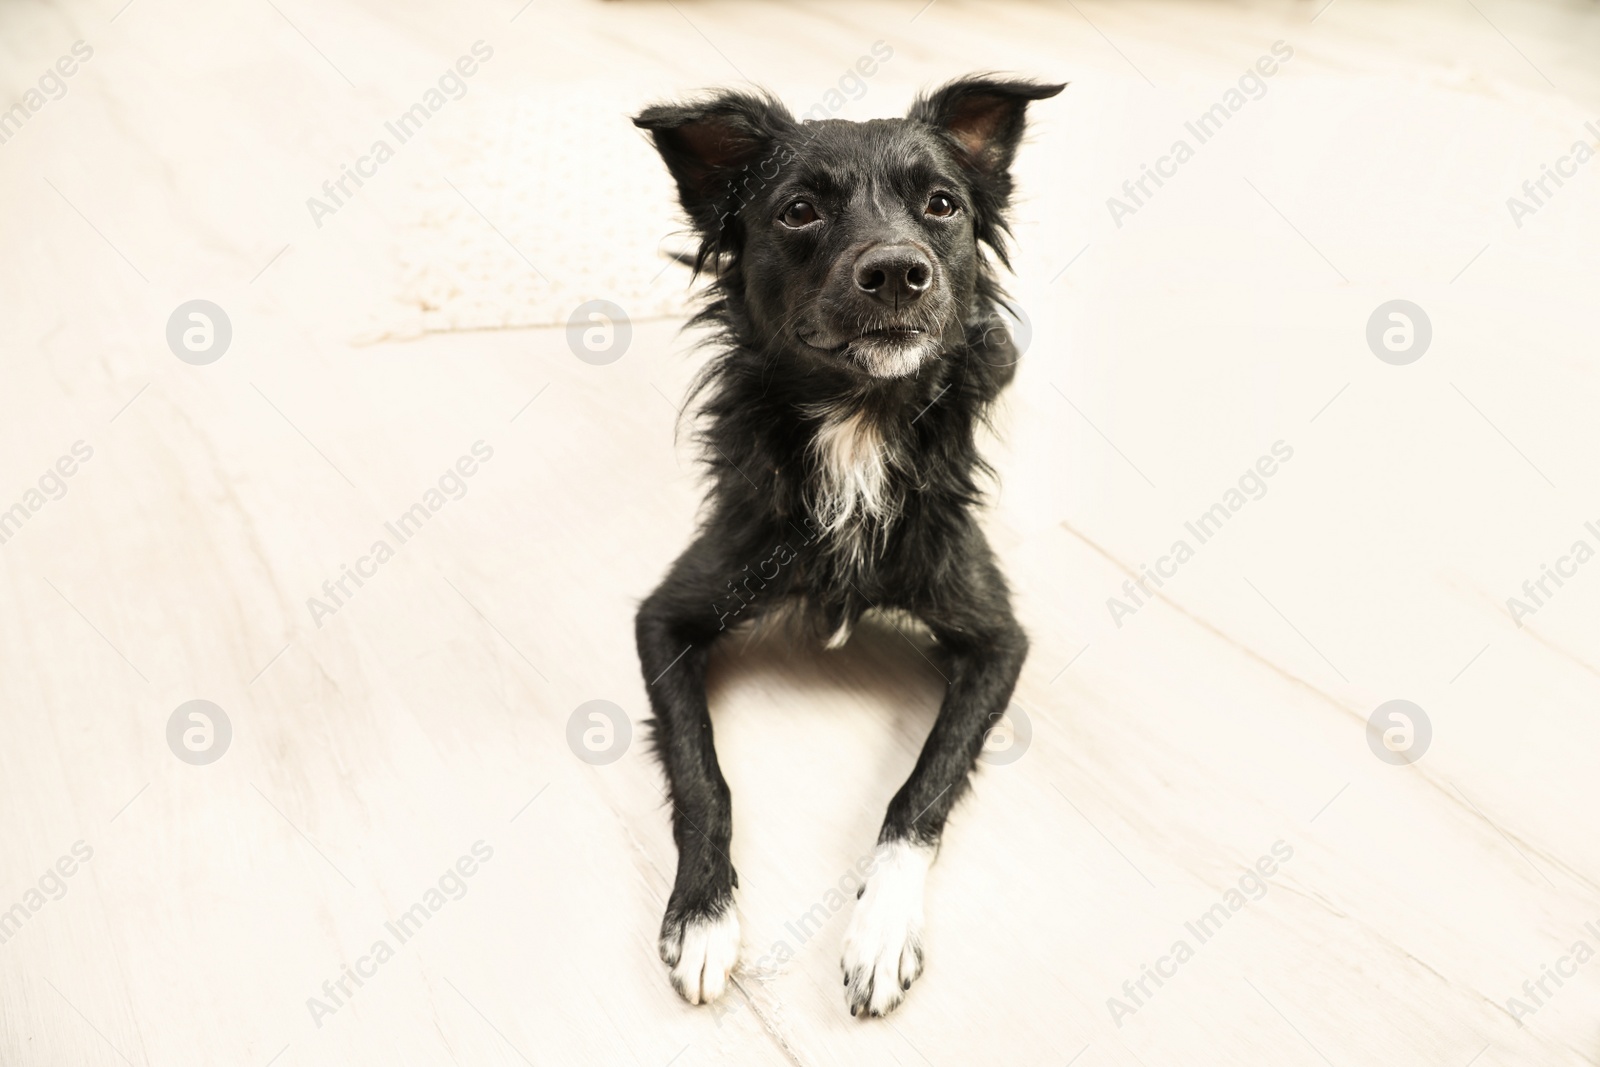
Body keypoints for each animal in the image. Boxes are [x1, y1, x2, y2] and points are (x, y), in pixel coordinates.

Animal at [627, 75, 1062, 1017]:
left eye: (942, 204)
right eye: (798, 210)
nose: (897, 269)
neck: (859, 423)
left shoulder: (999, 639)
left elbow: (920, 789)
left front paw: (880, 931)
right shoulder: (664, 616)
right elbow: (700, 772)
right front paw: (704, 916)